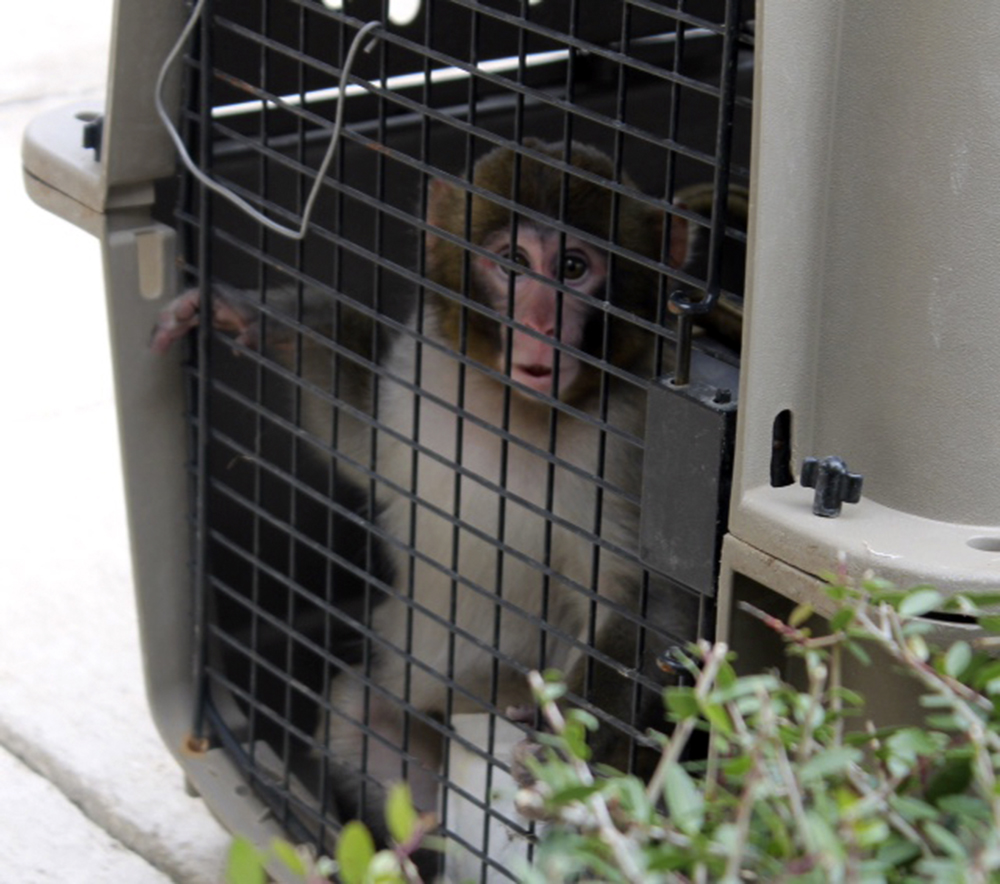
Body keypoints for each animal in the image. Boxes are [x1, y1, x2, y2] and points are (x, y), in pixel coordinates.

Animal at [152, 139, 740, 839]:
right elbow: (361, 442)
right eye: (513, 263)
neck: (519, 408)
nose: (541, 323)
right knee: (359, 718)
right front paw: (266, 314)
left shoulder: (631, 439)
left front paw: (564, 749)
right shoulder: (424, 369)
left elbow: (647, 602)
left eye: (573, 268)